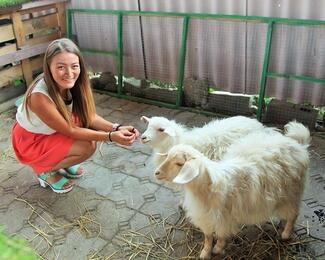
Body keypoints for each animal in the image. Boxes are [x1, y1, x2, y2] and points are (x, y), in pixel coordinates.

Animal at [153, 121, 310, 258]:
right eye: (167, 156)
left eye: (180, 163)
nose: (156, 173)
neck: (205, 192)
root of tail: (298, 145)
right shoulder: (205, 217)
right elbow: (208, 237)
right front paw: (205, 252)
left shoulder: (224, 218)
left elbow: (221, 235)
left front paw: (217, 249)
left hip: (292, 193)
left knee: (294, 214)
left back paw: (286, 233)